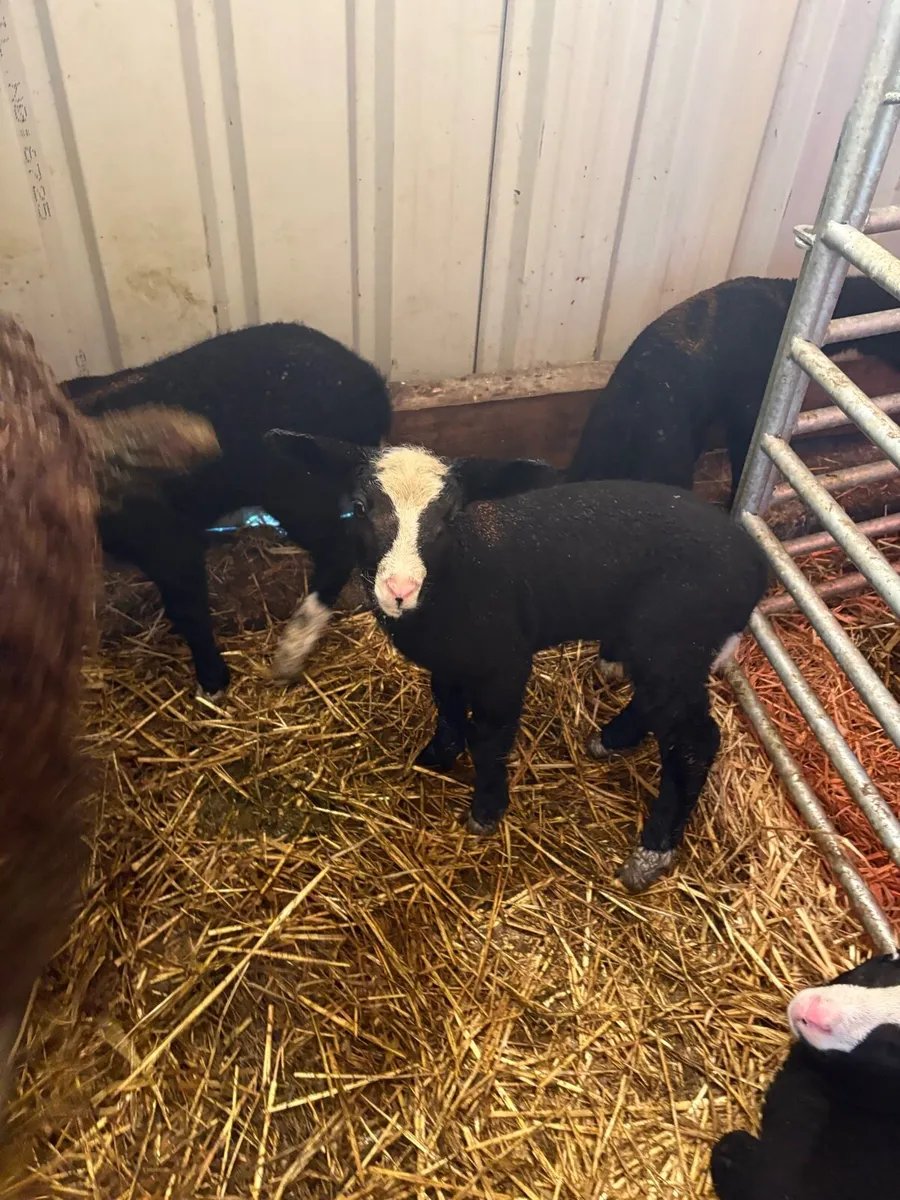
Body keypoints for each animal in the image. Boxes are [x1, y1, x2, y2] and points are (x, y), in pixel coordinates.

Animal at [64, 322, 392, 698]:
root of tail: (372, 384)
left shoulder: (166, 539)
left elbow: (188, 609)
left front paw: (212, 682)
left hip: (294, 487)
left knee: (337, 550)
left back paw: (293, 648)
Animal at [266, 435, 768, 893]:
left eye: (450, 517)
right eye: (358, 506)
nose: (400, 590)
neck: (461, 573)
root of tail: (754, 565)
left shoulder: (505, 663)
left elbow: (491, 737)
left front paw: (487, 810)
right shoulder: (448, 659)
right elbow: (446, 705)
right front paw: (439, 755)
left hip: (673, 641)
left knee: (695, 740)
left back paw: (651, 852)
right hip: (661, 646)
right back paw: (610, 741)